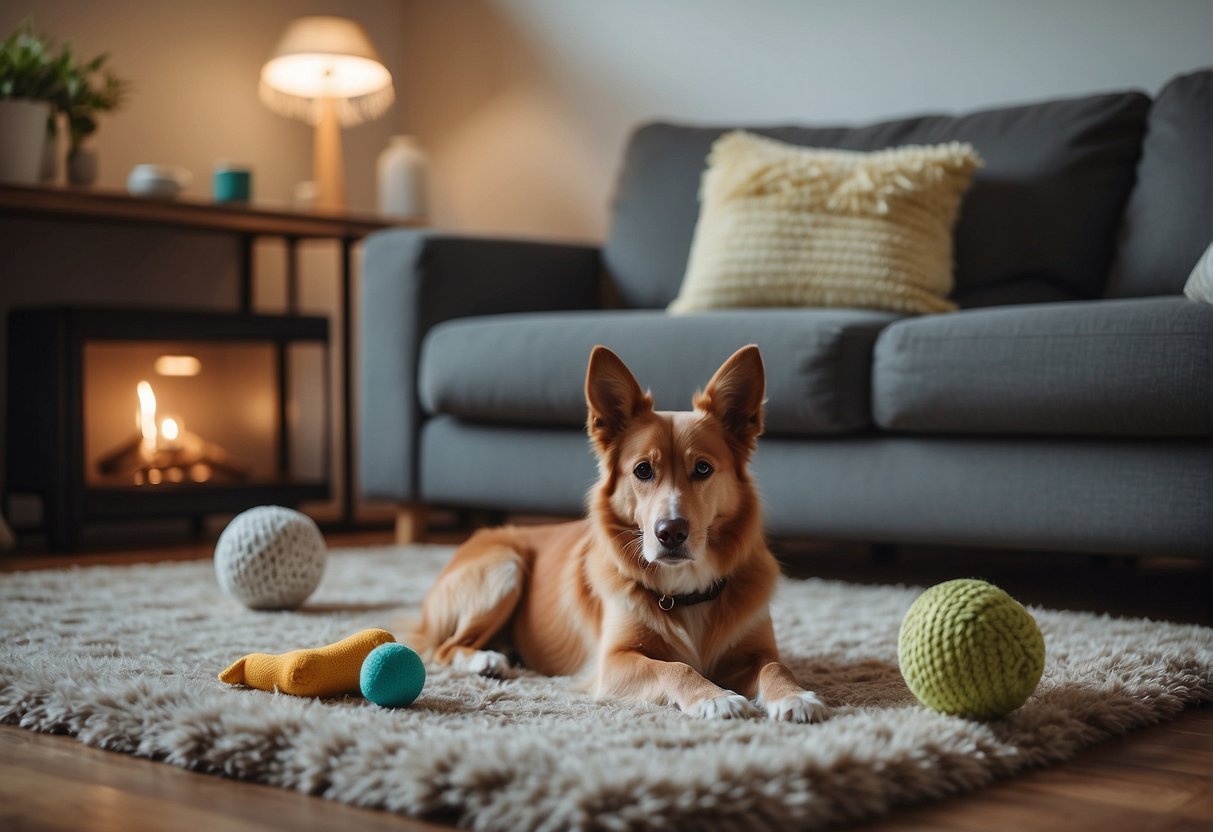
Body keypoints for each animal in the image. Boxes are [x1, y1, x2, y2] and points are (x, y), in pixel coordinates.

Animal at [412, 344, 829, 722]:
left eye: (703, 469)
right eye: (643, 470)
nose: (670, 532)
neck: (685, 591)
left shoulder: (757, 651)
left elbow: (776, 666)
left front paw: (795, 696)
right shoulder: (613, 662)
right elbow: (676, 667)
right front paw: (715, 697)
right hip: (505, 566)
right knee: (444, 648)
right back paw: (486, 659)